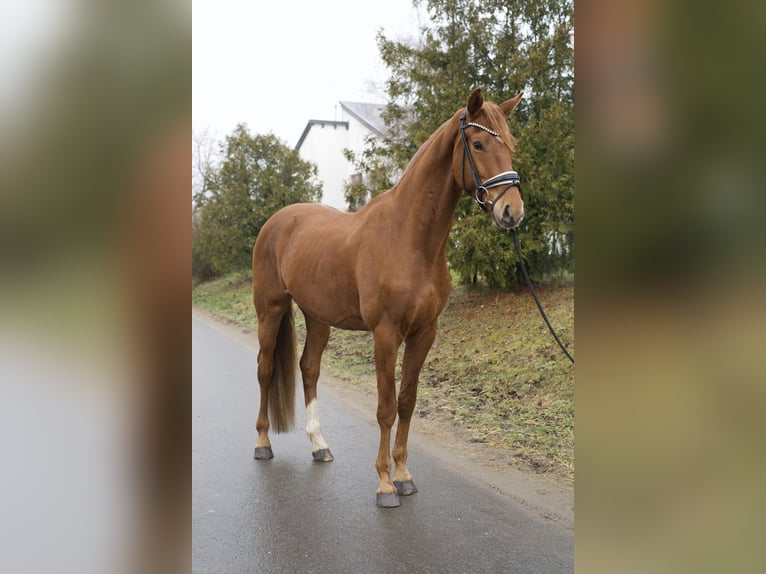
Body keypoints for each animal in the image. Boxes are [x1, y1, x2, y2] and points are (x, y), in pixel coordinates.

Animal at [255, 86, 524, 508]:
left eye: (510, 145)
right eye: (479, 144)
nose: (512, 211)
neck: (408, 238)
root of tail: (278, 221)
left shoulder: (424, 333)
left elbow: (407, 403)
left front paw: (404, 476)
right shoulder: (385, 334)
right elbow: (385, 407)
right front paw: (384, 485)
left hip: (317, 316)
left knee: (308, 368)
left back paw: (319, 445)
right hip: (270, 309)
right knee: (266, 370)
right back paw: (263, 444)